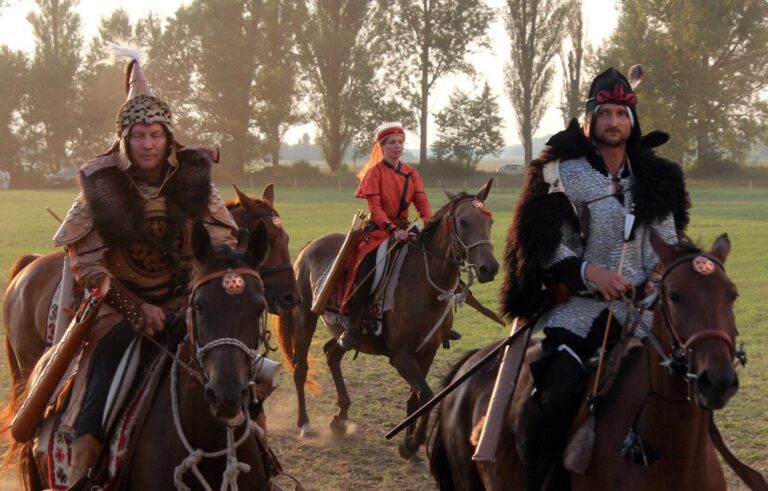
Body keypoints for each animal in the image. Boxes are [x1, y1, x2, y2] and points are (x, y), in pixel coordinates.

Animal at [274, 179, 499, 460]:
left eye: (489, 221)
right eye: (464, 221)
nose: (490, 268)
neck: (425, 286)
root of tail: (310, 246)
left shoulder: (427, 351)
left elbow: (416, 397)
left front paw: (409, 445)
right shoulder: (400, 355)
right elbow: (426, 395)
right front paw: (412, 443)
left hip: (347, 332)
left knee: (332, 354)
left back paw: (340, 419)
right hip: (306, 318)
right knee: (300, 367)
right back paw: (305, 424)